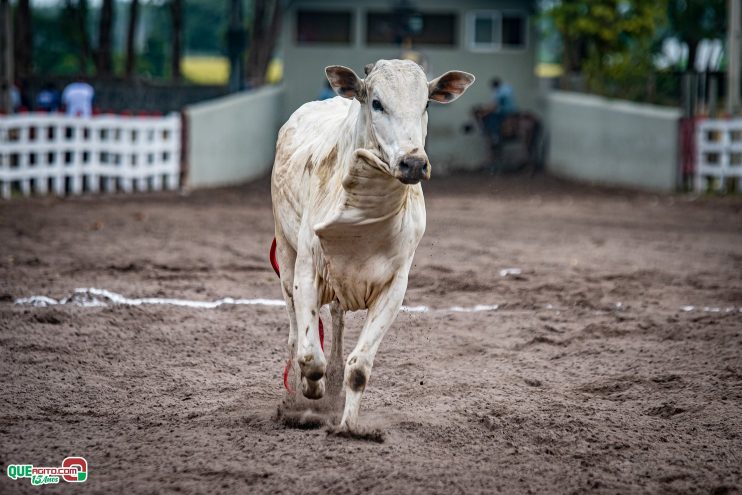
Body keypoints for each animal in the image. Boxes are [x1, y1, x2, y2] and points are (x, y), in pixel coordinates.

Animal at [274, 59, 476, 430]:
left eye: (426, 104)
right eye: (377, 102)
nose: (414, 163)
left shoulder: (394, 287)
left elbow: (359, 369)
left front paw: (350, 427)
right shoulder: (306, 271)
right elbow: (309, 355)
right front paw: (311, 391)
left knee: (337, 322)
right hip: (284, 252)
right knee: (296, 334)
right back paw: (298, 394)